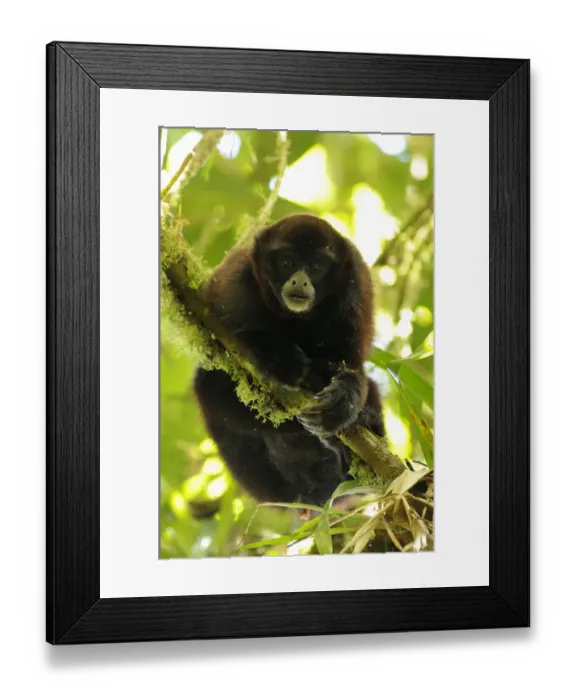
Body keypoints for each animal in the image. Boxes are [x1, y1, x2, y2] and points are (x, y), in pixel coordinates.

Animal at [193, 213, 385, 507]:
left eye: (316, 267)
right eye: (288, 263)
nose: (300, 281)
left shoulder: (356, 285)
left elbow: (352, 365)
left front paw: (346, 397)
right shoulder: (236, 281)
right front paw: (279, 356)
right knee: (210, 385)